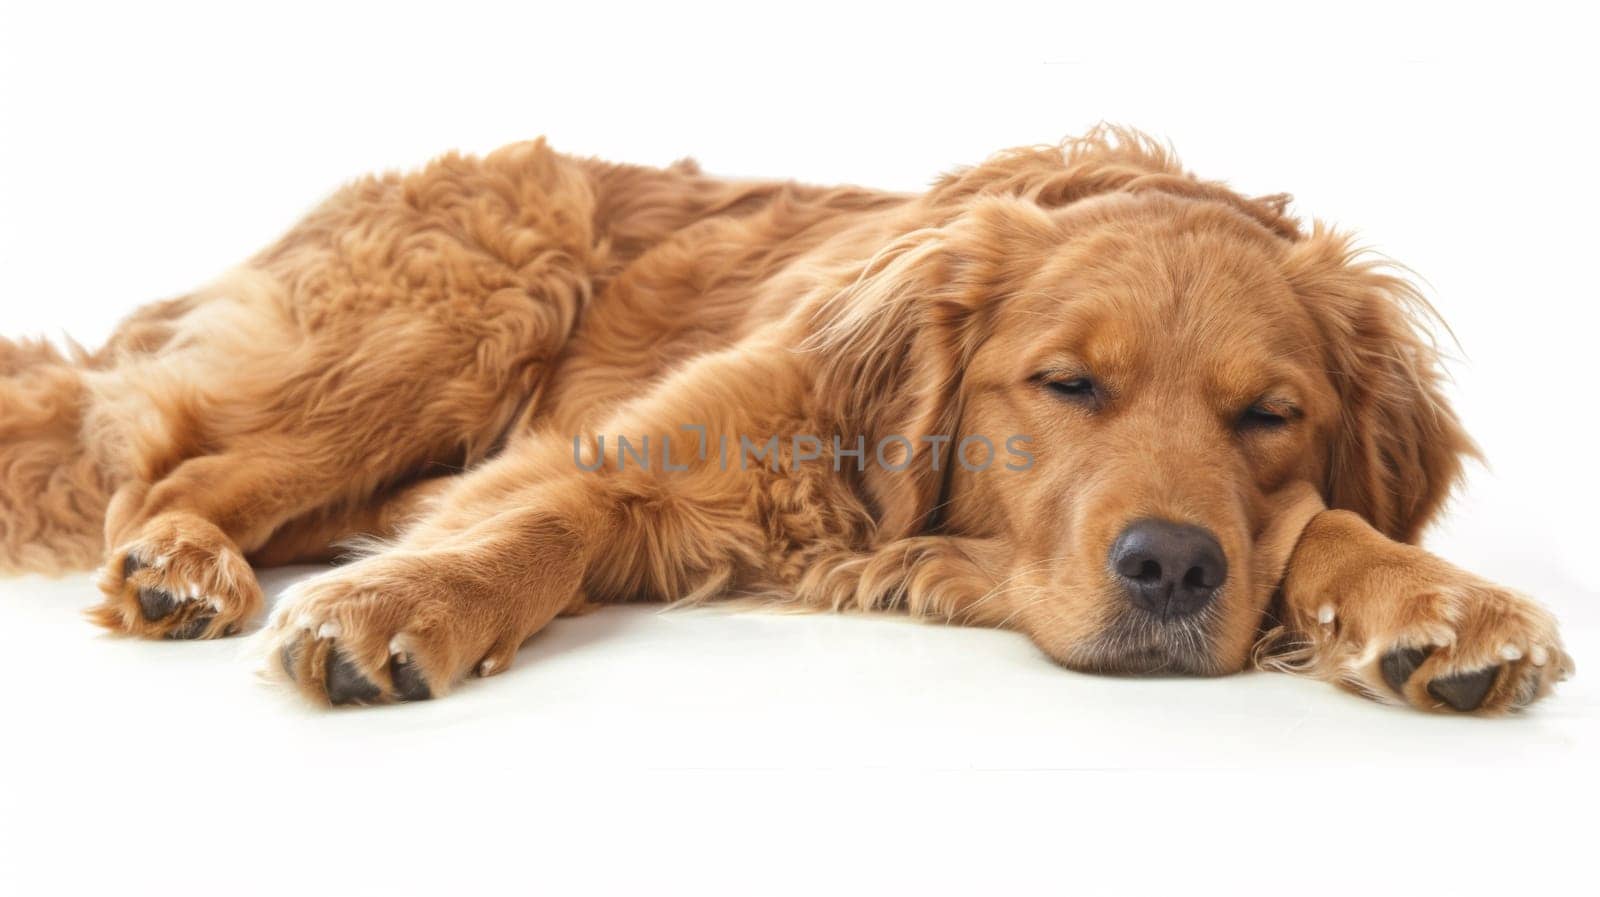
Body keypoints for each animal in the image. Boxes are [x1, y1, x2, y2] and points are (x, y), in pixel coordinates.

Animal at [0, 127, 1574, 713]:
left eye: (1269, 414)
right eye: (1066, 384)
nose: (1175, 570)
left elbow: (1318, 528)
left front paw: (1434, 599)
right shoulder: (627, 450)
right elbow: (538, 528)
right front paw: (415, 604)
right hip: (464, 318)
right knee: (167, 465)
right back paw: (183, 567)